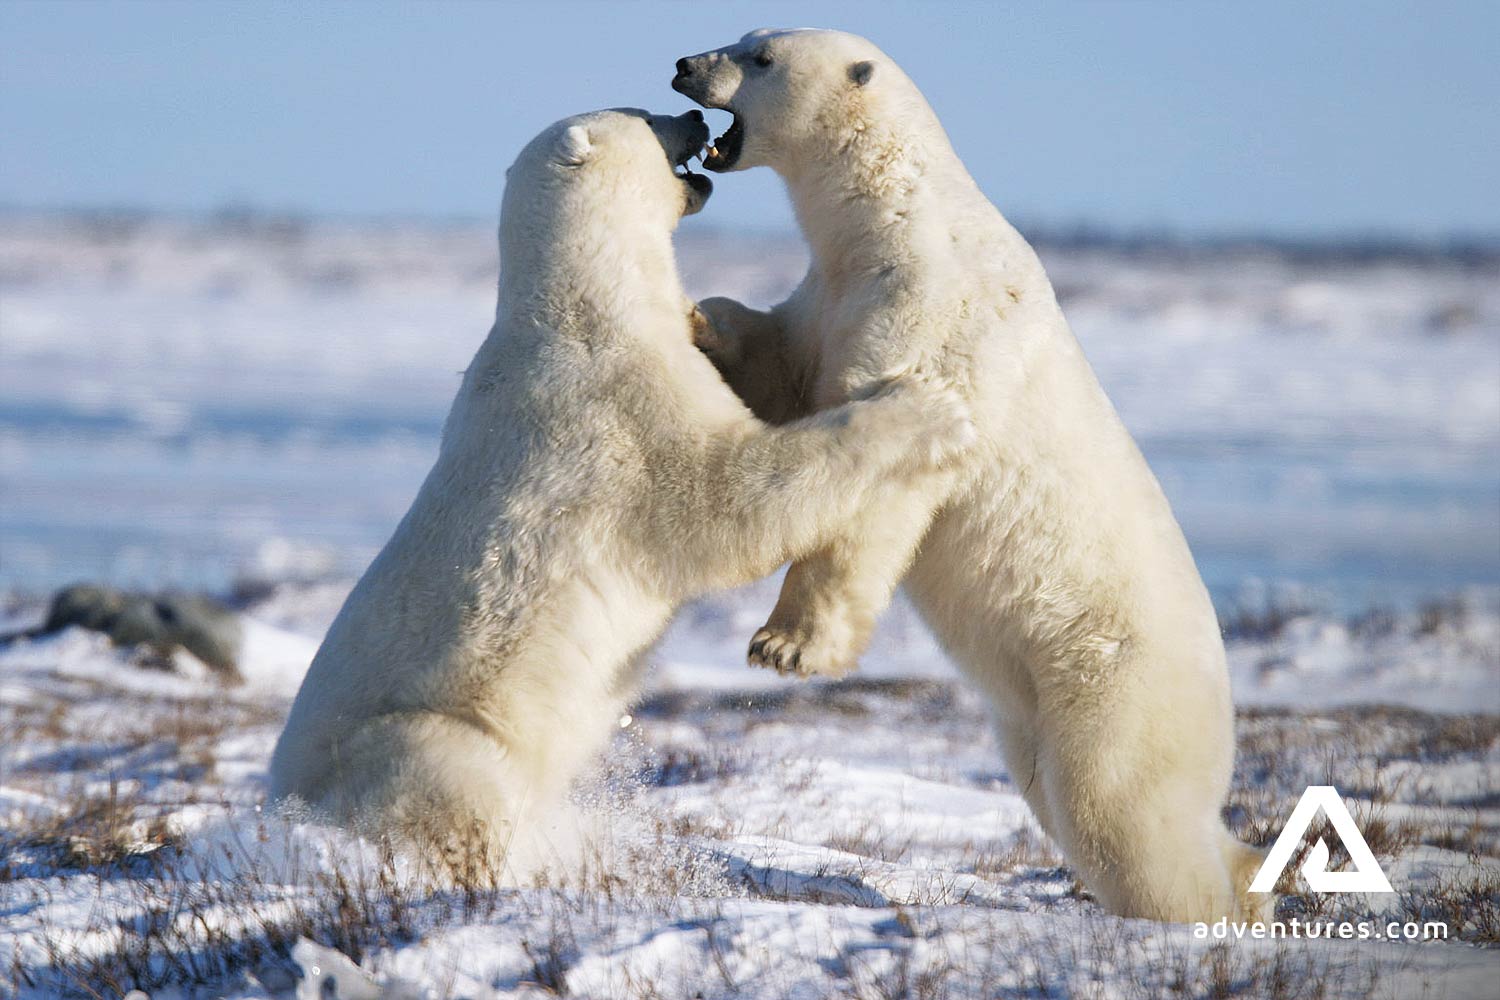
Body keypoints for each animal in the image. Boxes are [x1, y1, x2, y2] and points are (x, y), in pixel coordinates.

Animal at [267, 107, 973, 870]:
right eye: (643, 114)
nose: (691, 115)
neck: (584, 305)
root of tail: (281, 806)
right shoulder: (619, 409)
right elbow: (731, 496)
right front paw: (929, 407)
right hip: (423, 731)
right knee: (450, 771)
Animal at [673, 30, 1268, 923]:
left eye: (761, 54)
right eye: (740, 40)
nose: (683, 64)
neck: (898, 219)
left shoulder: (931, 318)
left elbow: (887, 474)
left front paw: (786, 646)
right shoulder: (834, 299)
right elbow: (785, 368)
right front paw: (696, 316)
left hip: (1113, 681)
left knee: (1118, 808)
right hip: (1029, 710)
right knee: (1059, 793)